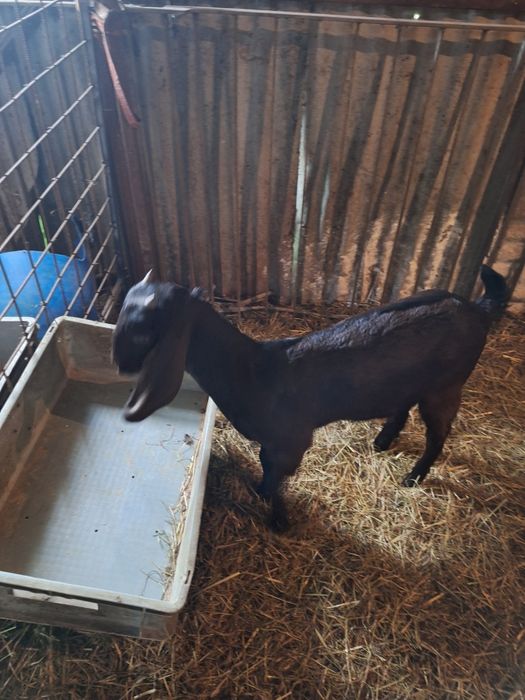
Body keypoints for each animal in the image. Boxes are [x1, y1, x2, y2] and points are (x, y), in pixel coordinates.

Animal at [113, 265, 508, 531]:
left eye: (140, 329)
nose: (119, 363)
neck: (253, 371)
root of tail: (477, 309)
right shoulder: (271, 442)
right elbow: (266, 469)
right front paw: (260, 493)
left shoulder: (292, 441)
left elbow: (277, 477)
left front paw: (278, 520)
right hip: (414, 382)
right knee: (403, 408)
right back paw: (382, 441)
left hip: (445, 386)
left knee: (438, 434)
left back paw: (414, 477)